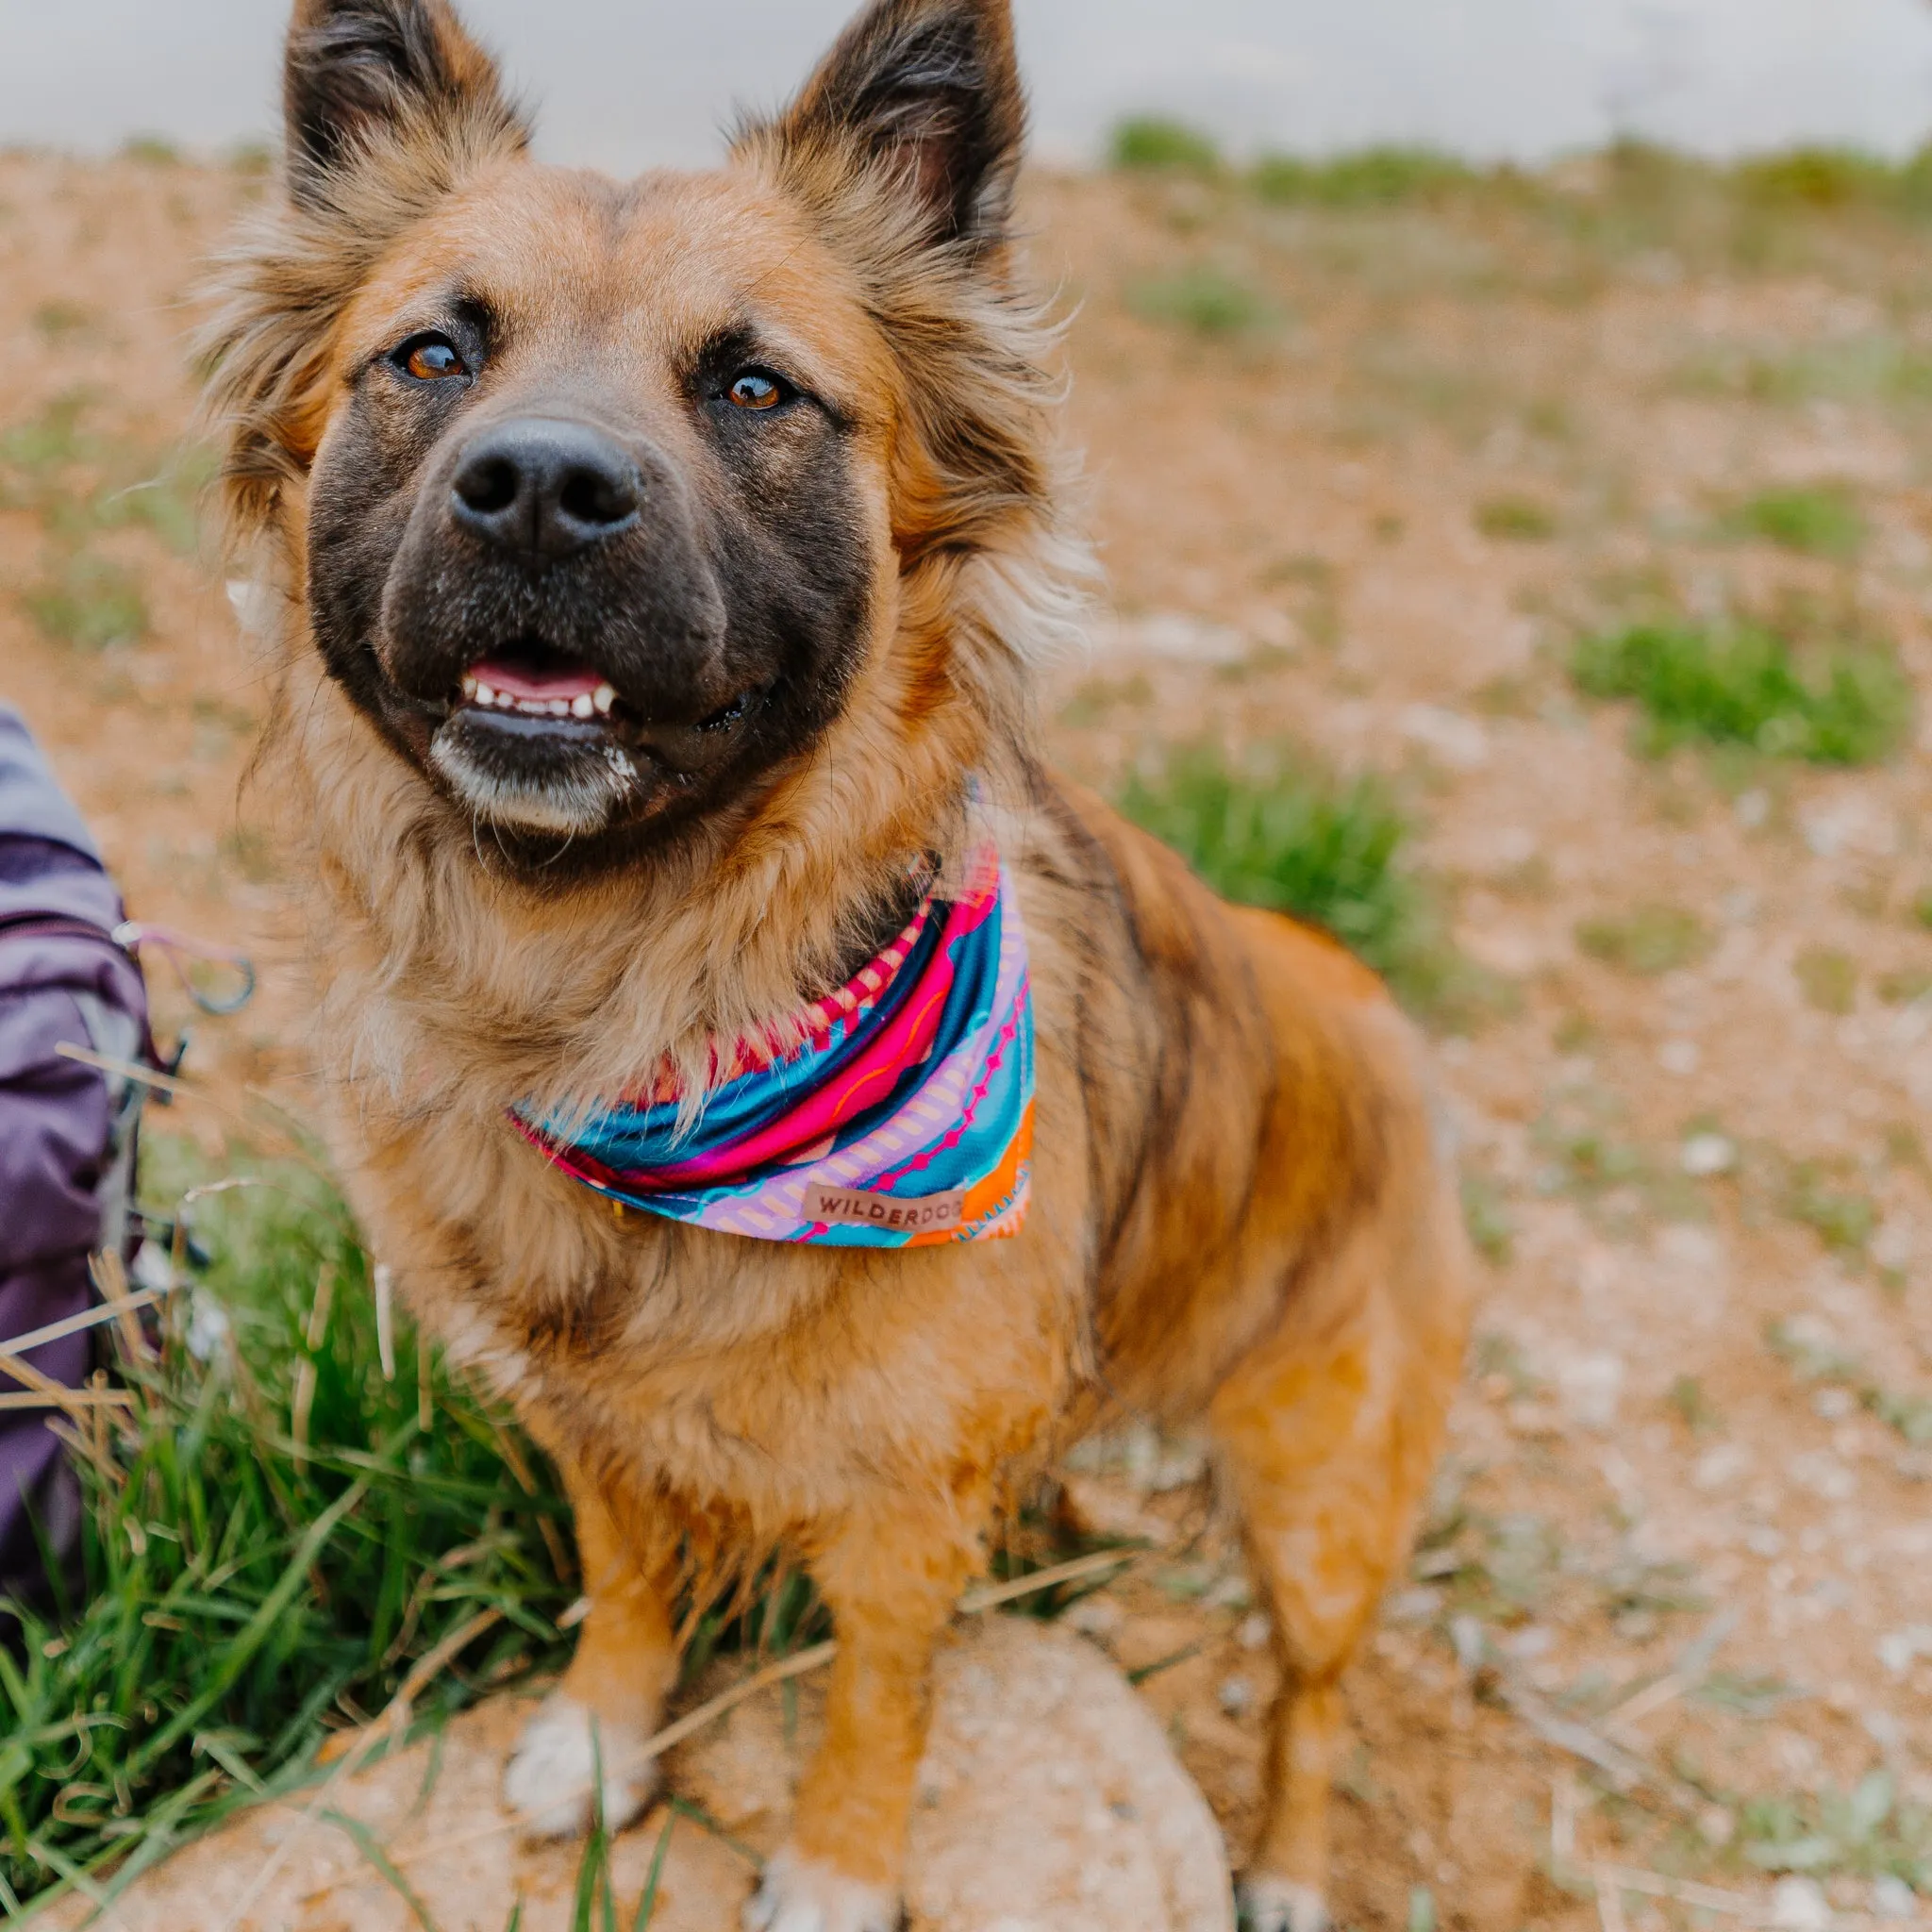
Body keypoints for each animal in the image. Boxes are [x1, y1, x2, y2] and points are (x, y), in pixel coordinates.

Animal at [204, 4, 1468, 1932]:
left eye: (753, 389)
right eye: (430, 354)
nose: (539, 493)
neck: (646, 1017)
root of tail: (1345, 981)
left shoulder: (898, 1508)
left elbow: (879, 1694)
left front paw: (835, 1868)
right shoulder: (593, 1421)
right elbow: (627, 1575)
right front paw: (605, 1739)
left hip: (1321, 1504)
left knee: (1313, 1702)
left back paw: (1292, 1865)